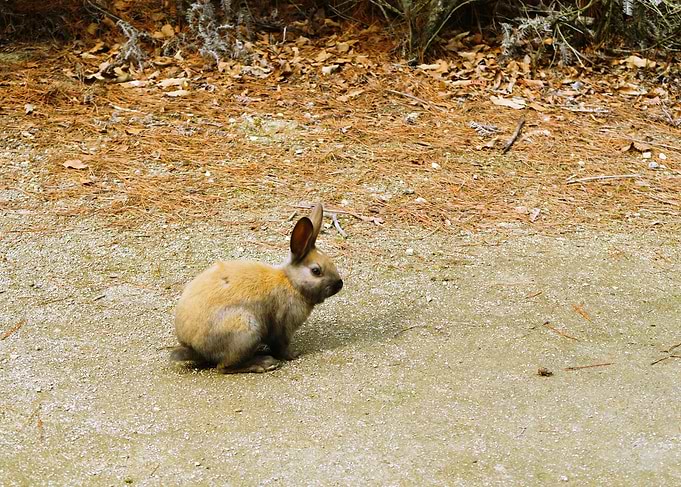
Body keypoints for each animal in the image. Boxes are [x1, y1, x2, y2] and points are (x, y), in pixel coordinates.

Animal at [171, 203, 343, 374]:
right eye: (316, 271)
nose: (340, 284)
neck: (291, 282)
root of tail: (193, 347)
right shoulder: (282, 326)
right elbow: (280, 347)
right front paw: (294, 354)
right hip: (246, 330)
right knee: (224, 367)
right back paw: (264, 363)